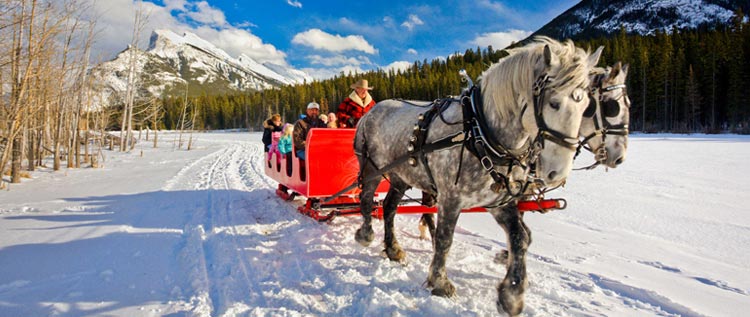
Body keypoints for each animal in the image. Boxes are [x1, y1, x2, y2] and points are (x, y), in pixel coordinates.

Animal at [352, 37, 604, 314]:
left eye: (587, 106)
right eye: (554, 103)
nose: (556, 172)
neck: (480, 131)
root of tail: (372, 111)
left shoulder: (500, 202)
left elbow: (520, 238)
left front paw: (512, 294)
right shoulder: (451, 198)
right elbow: (445, 239)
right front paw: (440, 282)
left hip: (400, 176)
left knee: (388, 207)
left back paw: (393, 249)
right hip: (372, 168)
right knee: (366, 199)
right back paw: (365, 234)